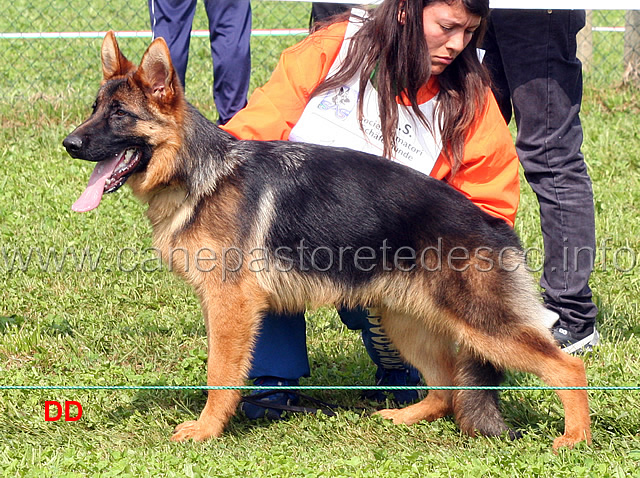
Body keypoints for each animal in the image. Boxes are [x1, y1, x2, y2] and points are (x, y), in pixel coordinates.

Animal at [62, 32, 592, 448]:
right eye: (94, 110)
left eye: (119, 115)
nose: (68, 143)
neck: (198, 173)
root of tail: (496, 225)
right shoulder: (223, 305)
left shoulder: (232, 305)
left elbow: (220, 373)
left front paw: (207, 430)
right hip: (403, 320)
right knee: (444, 386)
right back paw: (404, 415)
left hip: (482, 324)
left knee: (567, 369)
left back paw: (574, 439)